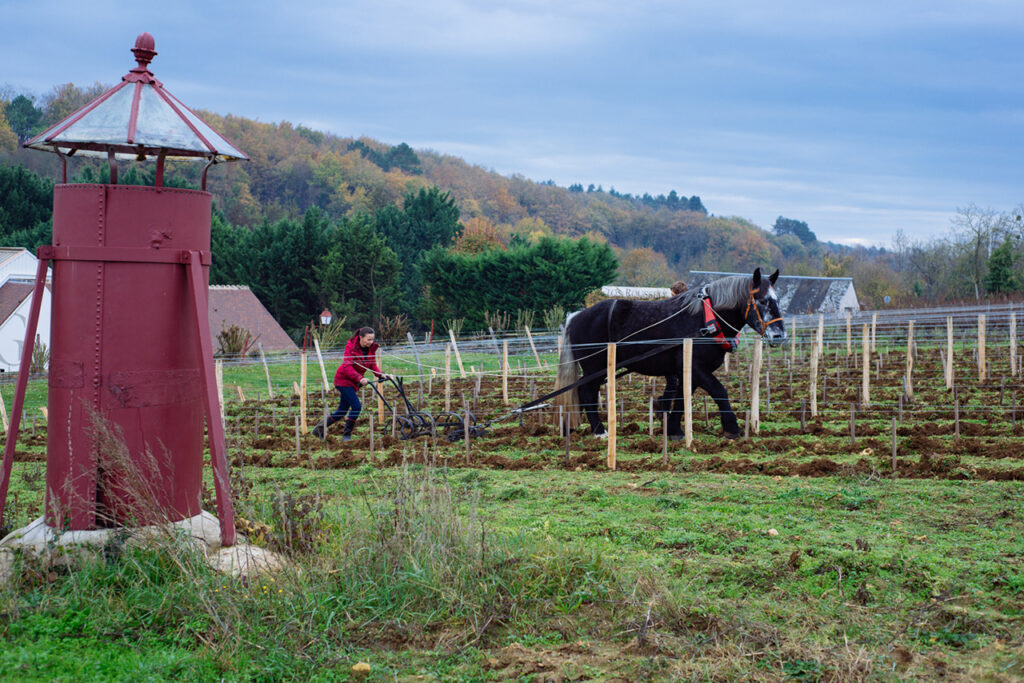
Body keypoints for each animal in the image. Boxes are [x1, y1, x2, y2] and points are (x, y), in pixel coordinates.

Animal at [557, 270, 786, 440]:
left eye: (776, 300)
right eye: (762, 301)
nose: (779, 336)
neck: (706, 319)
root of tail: (576, 316)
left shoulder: (689, 372)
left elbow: (681, 398)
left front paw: (674, 431)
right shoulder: (696, 367)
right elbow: (719, 391)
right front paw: (732, 428)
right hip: (594, 367)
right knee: (587, 393)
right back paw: (600, 431)